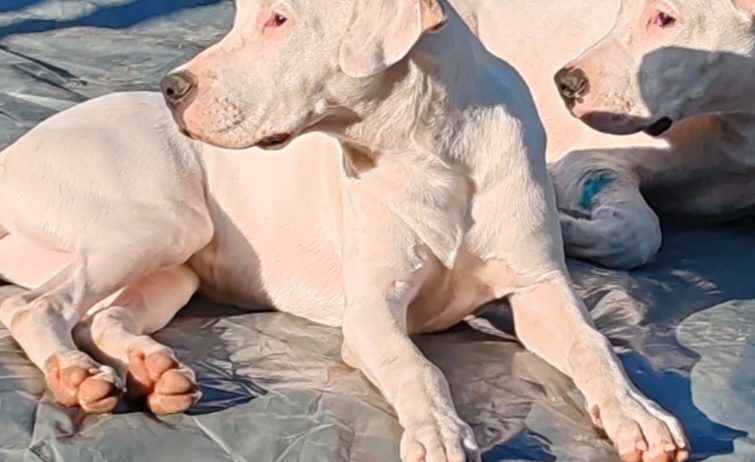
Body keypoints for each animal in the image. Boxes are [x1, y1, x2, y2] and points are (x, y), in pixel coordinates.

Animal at [0, 0, 688, 462]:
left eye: (278, 19)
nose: (171, 88)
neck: (429, 150)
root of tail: (13, 152)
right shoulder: (372, 312)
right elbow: (418, 368)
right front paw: (439, 431)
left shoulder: (539, 285)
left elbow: (593, 346)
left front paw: (639, 414)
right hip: (161, 222)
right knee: (36, 306)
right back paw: (76, 375)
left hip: (176, 264)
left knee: (99, 316)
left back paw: (153, 369)